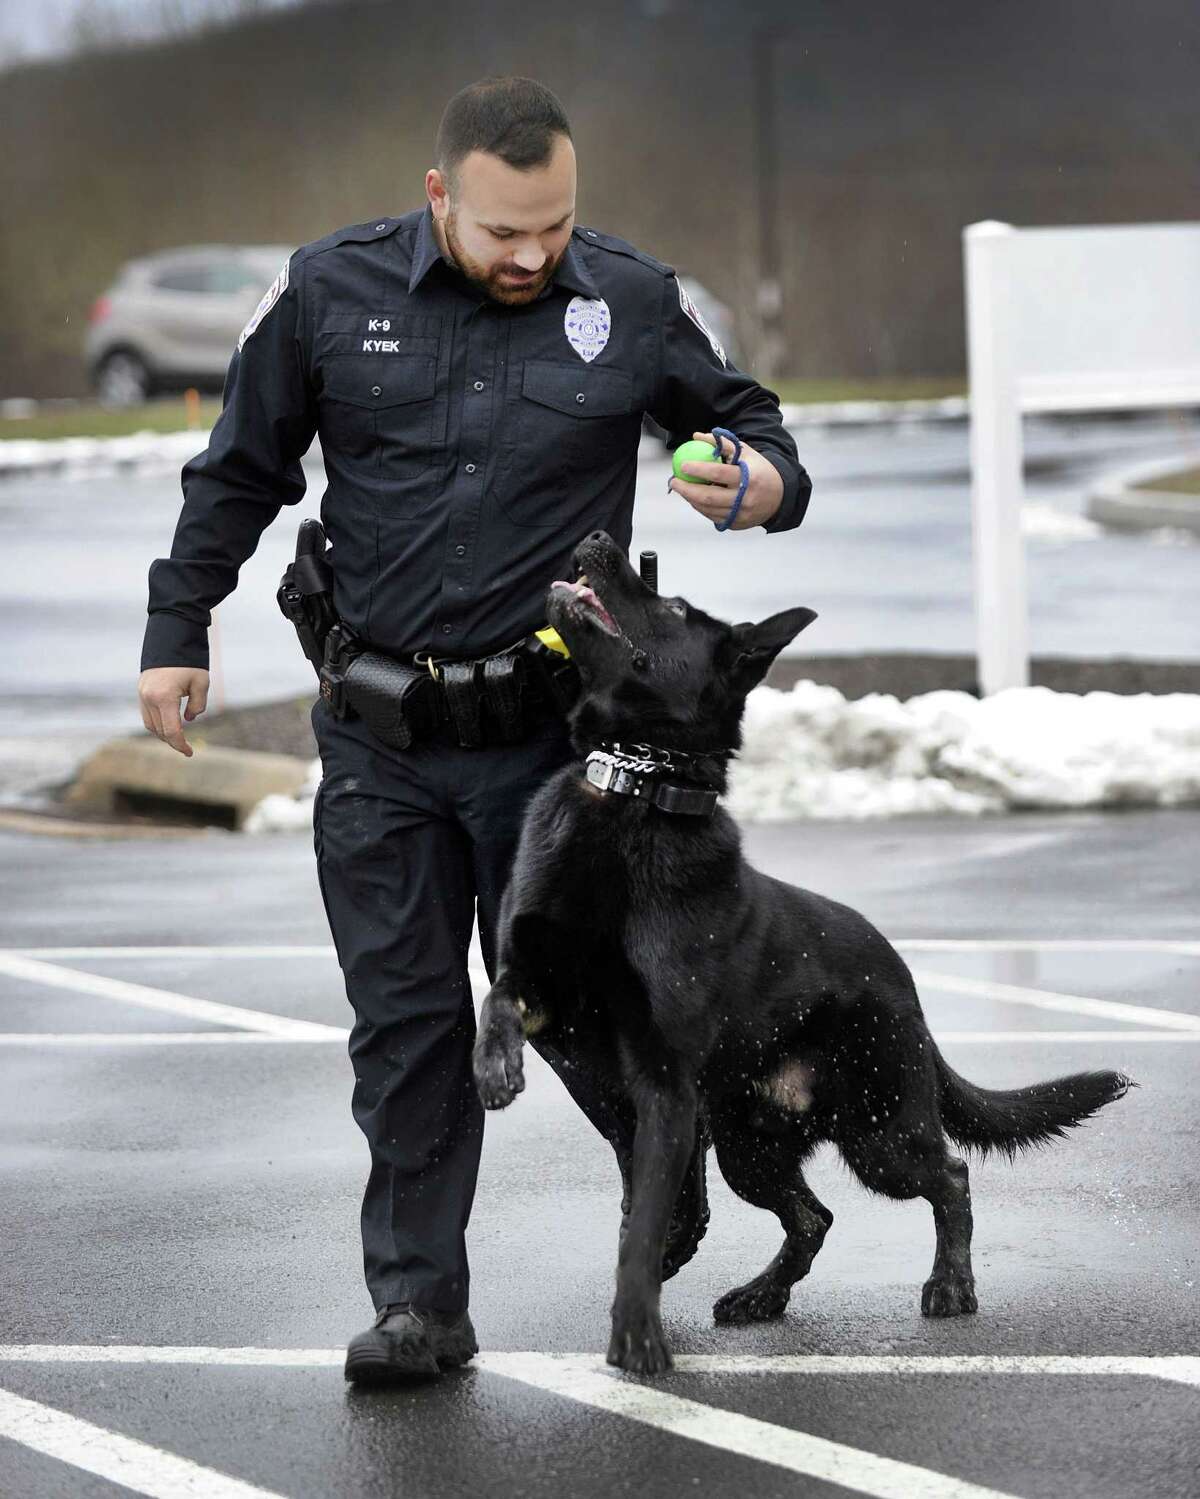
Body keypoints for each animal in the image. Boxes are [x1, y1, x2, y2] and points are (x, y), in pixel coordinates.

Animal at [470, 527, 1132, 1373]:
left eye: (672, 606)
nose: (595, 537)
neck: (633, 786)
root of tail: (902, 975)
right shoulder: (543, 984)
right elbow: (498, 999)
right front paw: (495, 1067)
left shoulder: (663, 1085)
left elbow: (643, 1223)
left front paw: (638, 1331)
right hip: (749, 1145)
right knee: (813, 1216)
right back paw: (764, 1294)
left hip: (878, 1131)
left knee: (948, 1174)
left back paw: (950, 1283)